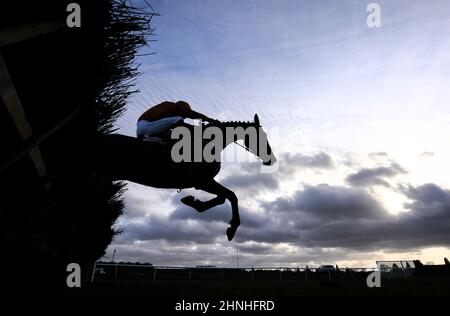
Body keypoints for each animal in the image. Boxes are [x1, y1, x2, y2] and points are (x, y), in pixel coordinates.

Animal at [96, 115, 274, 241]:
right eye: (261, 136)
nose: (271, 159)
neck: (207, 143)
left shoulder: (204, 182)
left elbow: (223, 197)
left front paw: (193, 202)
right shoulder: (202, 181)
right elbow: (231, 196)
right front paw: (232, 228)